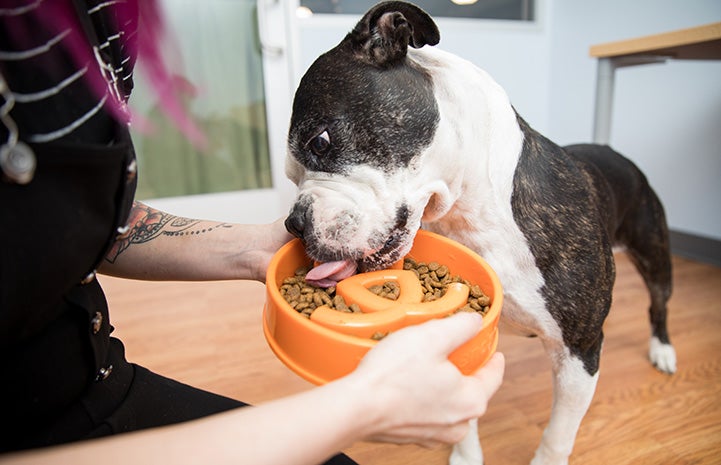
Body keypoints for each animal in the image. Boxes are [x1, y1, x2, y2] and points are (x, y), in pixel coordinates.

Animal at [282, 1, 676, 462]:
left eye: (320, 141)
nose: (294, 223)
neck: (475, 214)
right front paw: (466, 453)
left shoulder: (579, 350)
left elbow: (558, 434)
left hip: (655, 254)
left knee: (658, 304)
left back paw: (662, 349)